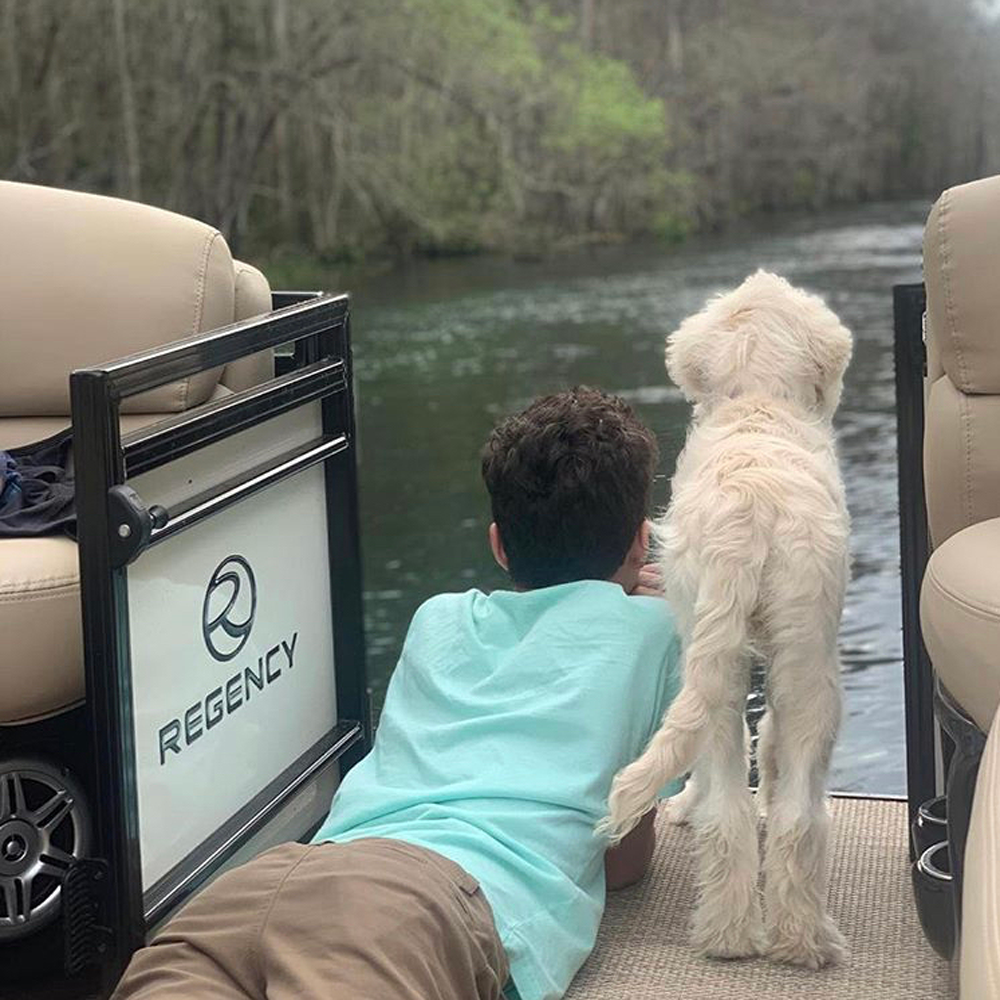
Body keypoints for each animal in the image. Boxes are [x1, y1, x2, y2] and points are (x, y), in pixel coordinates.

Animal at [600, 272, 852, 968]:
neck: (757, 405)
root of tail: (752, 509)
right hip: (807, 658)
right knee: (796, 814)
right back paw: (797, 940)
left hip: (717, 659)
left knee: (728, 803)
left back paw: (732, 935)